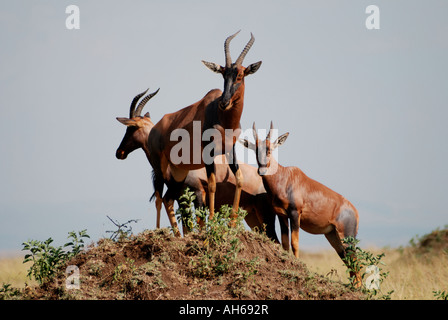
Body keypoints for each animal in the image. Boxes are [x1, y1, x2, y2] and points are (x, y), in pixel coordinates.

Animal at [148, 30, 262, 230]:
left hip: (179, 171)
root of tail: (155, 127)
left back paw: (177, 234)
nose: (224, 102)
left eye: (240, 74)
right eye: (223, 73)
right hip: (159, 165)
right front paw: (213, 225)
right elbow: (212, 185)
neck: (222, 117)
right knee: (159, 198)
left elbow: (239, 179)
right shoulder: (208, 154)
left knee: (169, 198)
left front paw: (232, 224)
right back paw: (159, 231)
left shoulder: (230, 151)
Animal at [243, 122, 362, 284]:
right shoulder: (281, 215)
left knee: (356, 261)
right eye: (255, 149)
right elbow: (285, 243)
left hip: (348, 236)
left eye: (270, 149)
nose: (261, 171)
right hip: (332, 235)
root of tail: (354, 212)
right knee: (348, 260)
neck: (285, 176)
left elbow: (295, 242)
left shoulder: (295, 214)